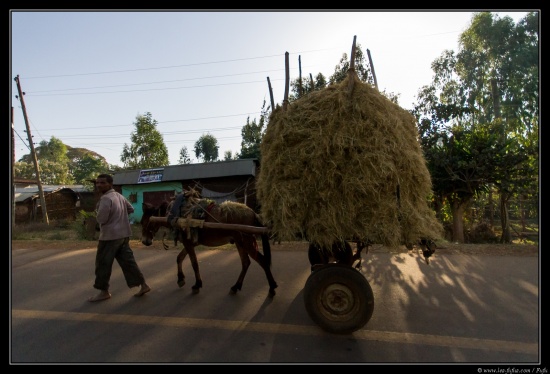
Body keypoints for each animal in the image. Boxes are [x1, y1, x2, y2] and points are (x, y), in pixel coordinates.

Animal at [140, 188, 278, 296]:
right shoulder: (190, 243)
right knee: (246, 263)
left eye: (144, 222)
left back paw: (272, 287)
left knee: (262, 261)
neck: (176, 213)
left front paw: (197, 284)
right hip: (240, 242)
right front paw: (180, 279)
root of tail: (253, 213)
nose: (145, 241)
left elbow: (194, 263)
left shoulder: (188, 244)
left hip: (247, 242)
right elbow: (179, 258)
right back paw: (236, 287)